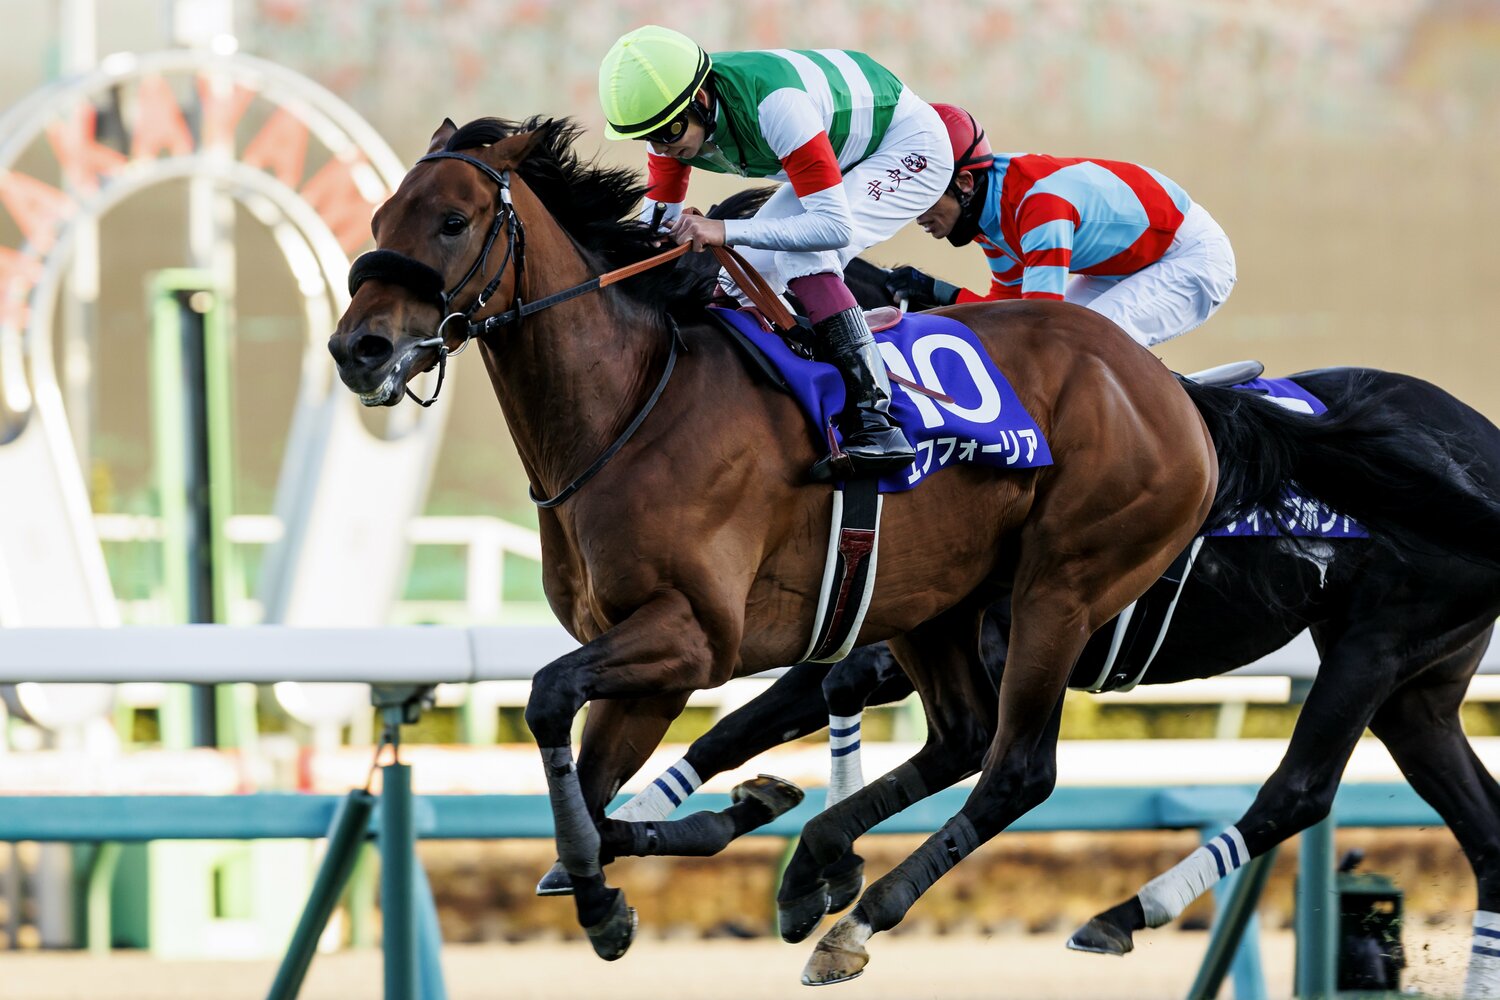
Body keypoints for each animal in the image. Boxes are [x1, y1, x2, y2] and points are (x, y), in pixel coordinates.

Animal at [327, 116, 1500, 985]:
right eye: (379, 214)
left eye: (452, 219)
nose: (360, 348)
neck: (632, 405)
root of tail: (1178, 401)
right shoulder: (698, 650)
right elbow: (616, 780)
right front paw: (717, 833)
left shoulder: (695, 637)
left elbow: (551, 706)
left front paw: (633, 883)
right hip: (1399, 680)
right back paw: (826, 869)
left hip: (1134, 602)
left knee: (1064, 769)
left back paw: (961, 911)